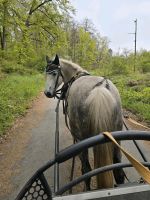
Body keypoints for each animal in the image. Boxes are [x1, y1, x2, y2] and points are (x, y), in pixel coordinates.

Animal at [44, 54, 124, 191]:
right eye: (45, 73)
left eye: (54, 73)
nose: (47, 93)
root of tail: (100, 89)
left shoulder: (77, 136)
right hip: (116, 137)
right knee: (118, 170)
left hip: (81, 137)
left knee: (86, 169)